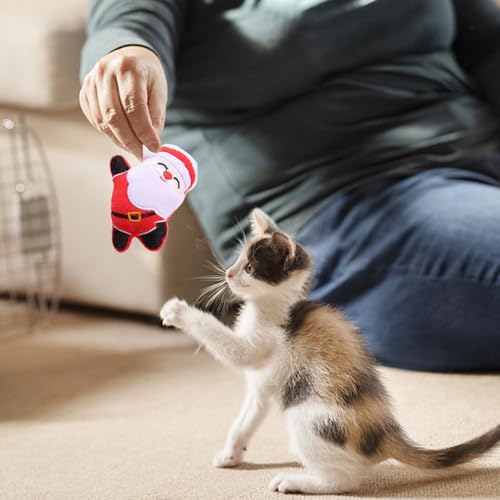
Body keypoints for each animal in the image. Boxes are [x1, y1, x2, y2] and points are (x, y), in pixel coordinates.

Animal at [160, 208, 500, 496]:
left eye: (250, 267)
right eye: (237, 259)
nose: (229, 274)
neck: (275, 305)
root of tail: (384, 434)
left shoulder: (261, 344)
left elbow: (229, 345)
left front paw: (178, 311)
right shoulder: (261, 389)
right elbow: (244, 422)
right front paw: (231, 455)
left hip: (306, 415)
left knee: (343, 481)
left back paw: (297, 481)